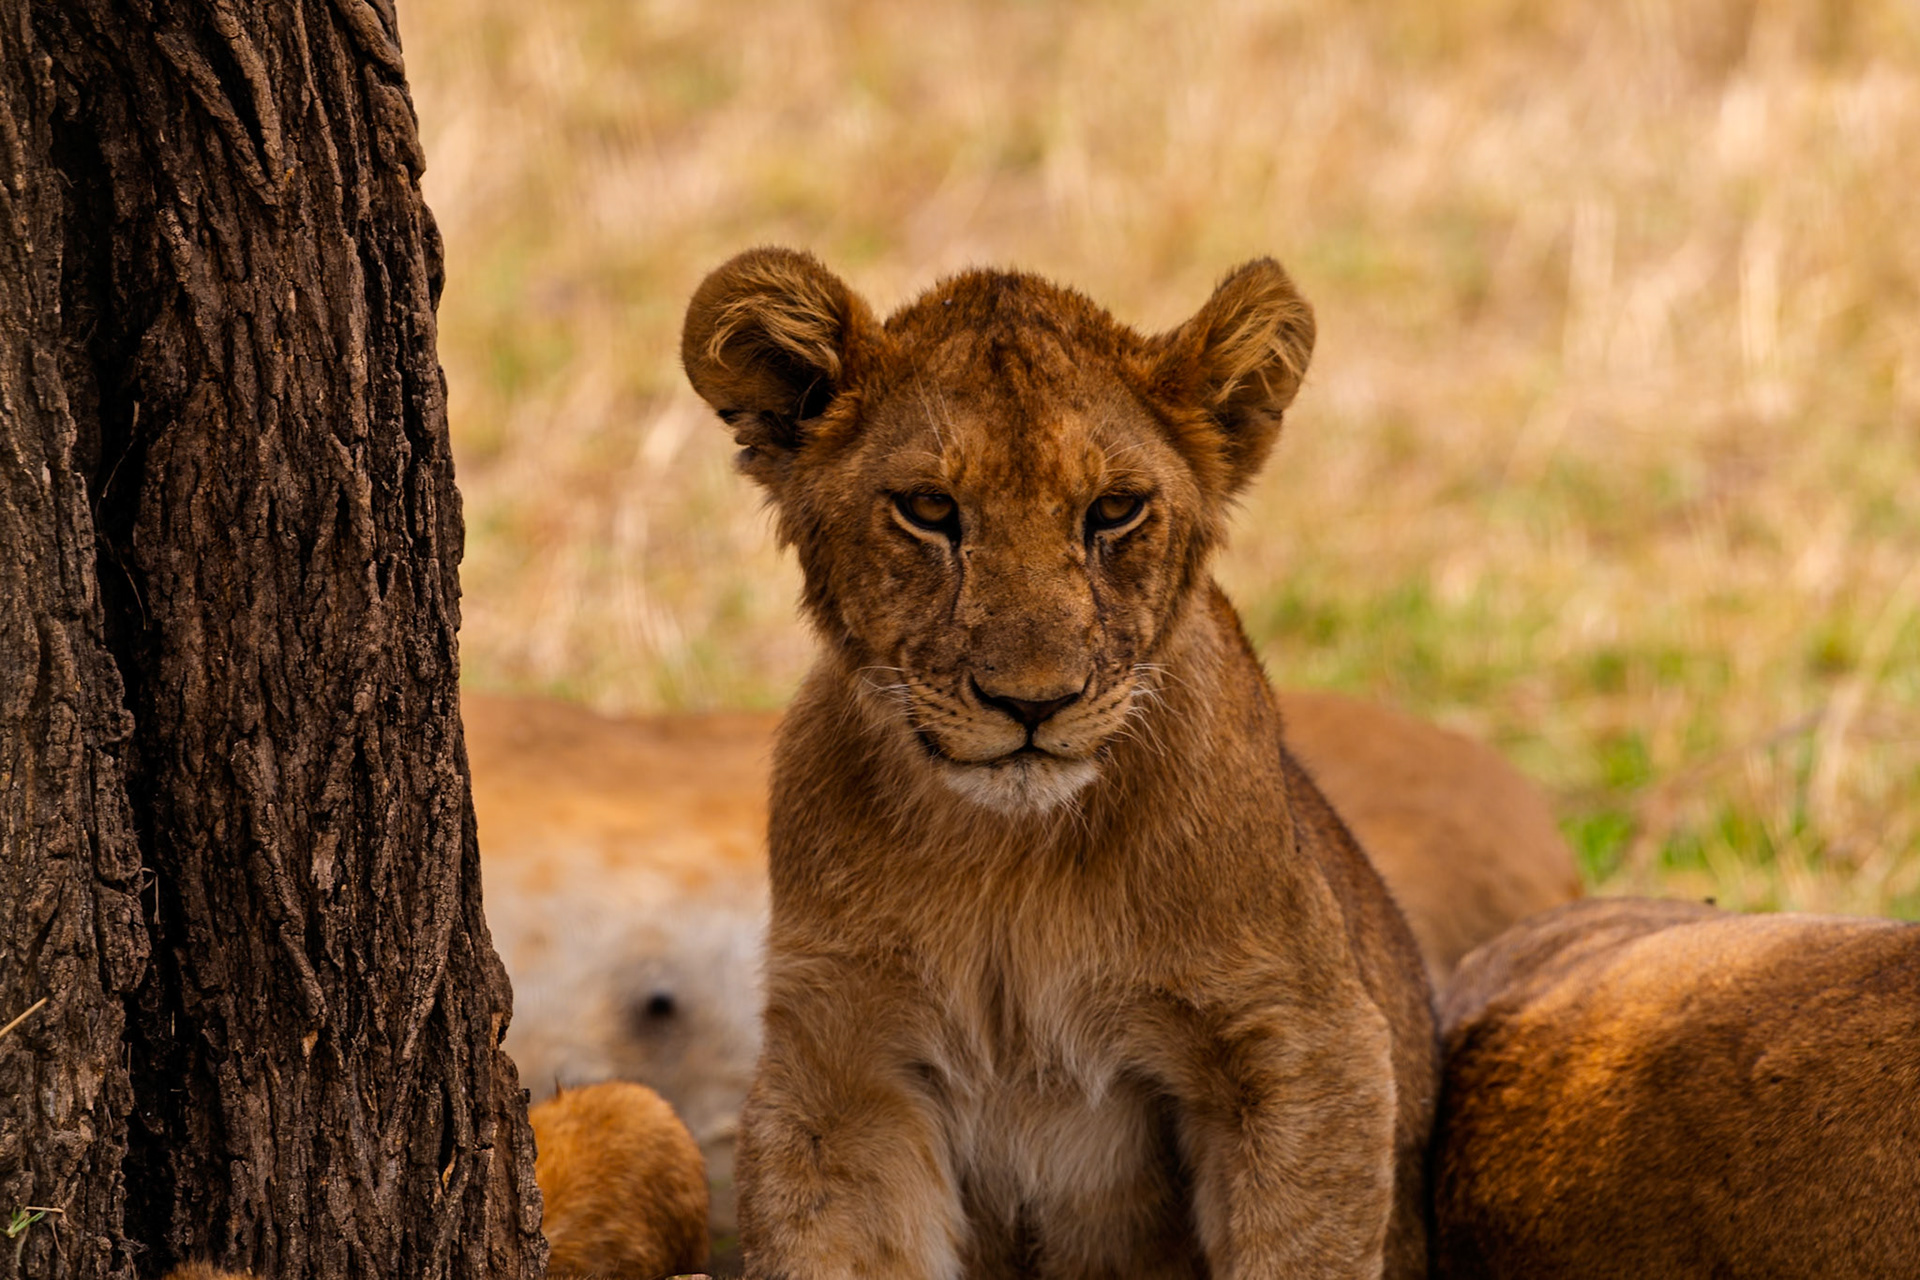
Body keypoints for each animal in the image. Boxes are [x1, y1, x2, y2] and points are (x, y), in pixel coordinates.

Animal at [679, 247, 1437, 1278]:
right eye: (929, 509)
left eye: (1114, 510)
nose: (1034, 702)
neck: (1014, 864)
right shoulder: (841, 1070)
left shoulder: (1303, 1039)